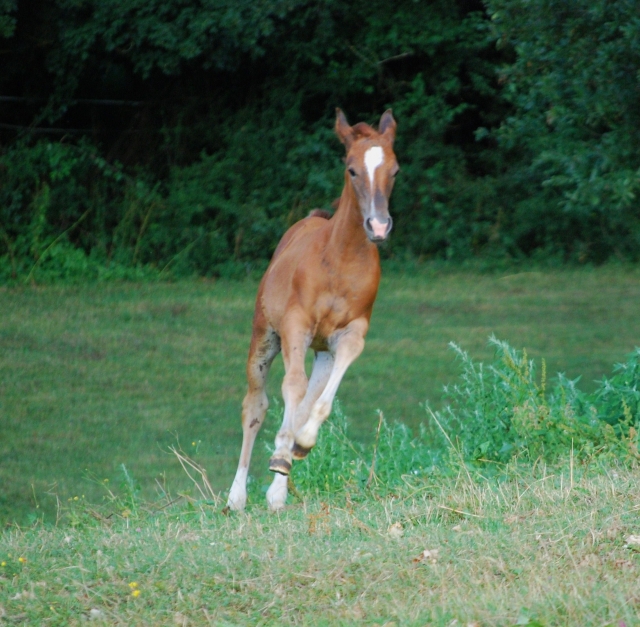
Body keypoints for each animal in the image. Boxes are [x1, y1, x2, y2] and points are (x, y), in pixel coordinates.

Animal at [228, 108, 398, 510]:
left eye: (395, 170)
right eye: (352, 169)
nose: (378, 225)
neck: (341, 260)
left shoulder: (352, 333)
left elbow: (317, 400)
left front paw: (299, 445)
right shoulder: (295, 325)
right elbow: (291, 386)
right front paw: (280, 453)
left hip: (321, 351)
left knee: (305, 398)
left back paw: (279, 485)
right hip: (264, 335)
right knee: (255, 406)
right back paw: (236, 495)